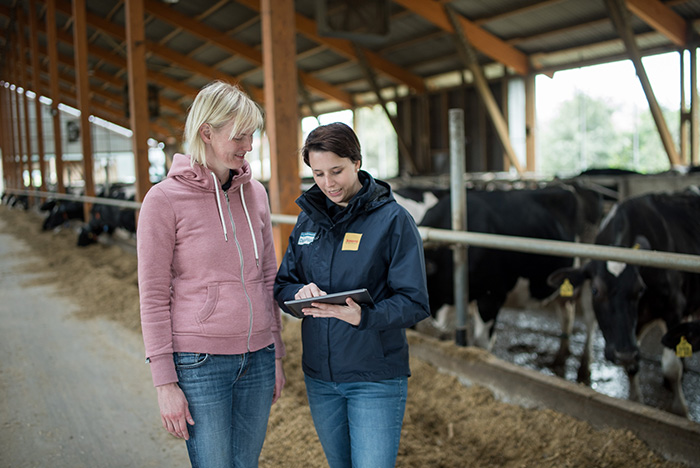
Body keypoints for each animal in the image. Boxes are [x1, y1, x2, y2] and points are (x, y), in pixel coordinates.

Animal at [418, 182, 604, 376]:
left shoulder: (491, 297)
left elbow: (481, 344)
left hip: (590, 273)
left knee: (590, 319)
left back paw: (584, 368)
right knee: (566, 311)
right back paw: (560, 357)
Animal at [548, 190, 700, 416]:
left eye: (640, 289)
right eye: (595, 290)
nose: (623, 353)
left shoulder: (674, 308)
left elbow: (671, 366)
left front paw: (680, 409)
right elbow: (634, 367)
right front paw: (636, 401)